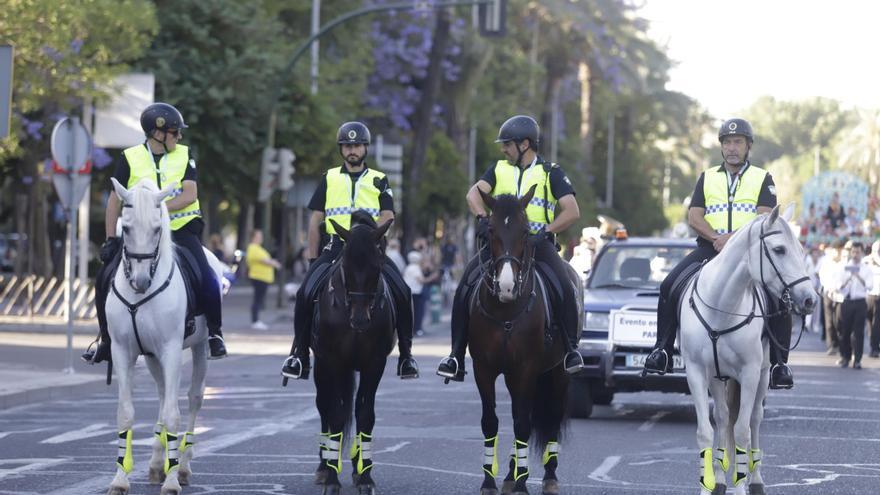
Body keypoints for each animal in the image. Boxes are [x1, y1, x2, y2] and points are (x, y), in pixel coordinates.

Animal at [107, 178, 223, 495]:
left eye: (157, 229)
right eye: (127, 228)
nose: (141, 281)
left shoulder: (171, 350)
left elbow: (174, 414)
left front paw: (172, 482)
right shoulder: (122, 351)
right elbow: (125, 412)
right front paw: (120, 479)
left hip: (199, 350)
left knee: (194, 398)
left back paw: (181, 467)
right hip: (151, 357)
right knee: (161, 395)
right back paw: (158, 463)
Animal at [308, 216, 394, 495]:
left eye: (377, 267)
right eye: (345, 265)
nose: (359, 320)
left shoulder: (374, 363)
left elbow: (365, 414)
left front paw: (365, 476)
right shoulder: (333, 360)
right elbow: (335, 413)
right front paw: (332, 479)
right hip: (322, 367)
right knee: (324, 406)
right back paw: (324, 466)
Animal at [470, 187, 580, 495]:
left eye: (524, 231)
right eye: (490, 230)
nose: (507, 287)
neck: (506, 311)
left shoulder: (527, 369)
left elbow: (521, 424)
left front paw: (522, 483)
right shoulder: (483, 369)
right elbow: (490, 421)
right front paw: (489, 481)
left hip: (558, 373)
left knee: (550, 415)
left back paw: (548, 476)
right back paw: (510, 473)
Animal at [680, 203, 820, 494]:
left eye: (802, 251)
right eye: (779, 249)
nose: (810, 300)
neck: (722, 308)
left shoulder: (750, 373)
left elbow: (743, 430)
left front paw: (741, 484)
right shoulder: (697, 372)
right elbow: (706, 431)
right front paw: (708, 484)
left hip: (763, 375)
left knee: (754, 420)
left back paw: (754, 480)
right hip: (718, 378)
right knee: (723, 418)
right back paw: (721, 478)